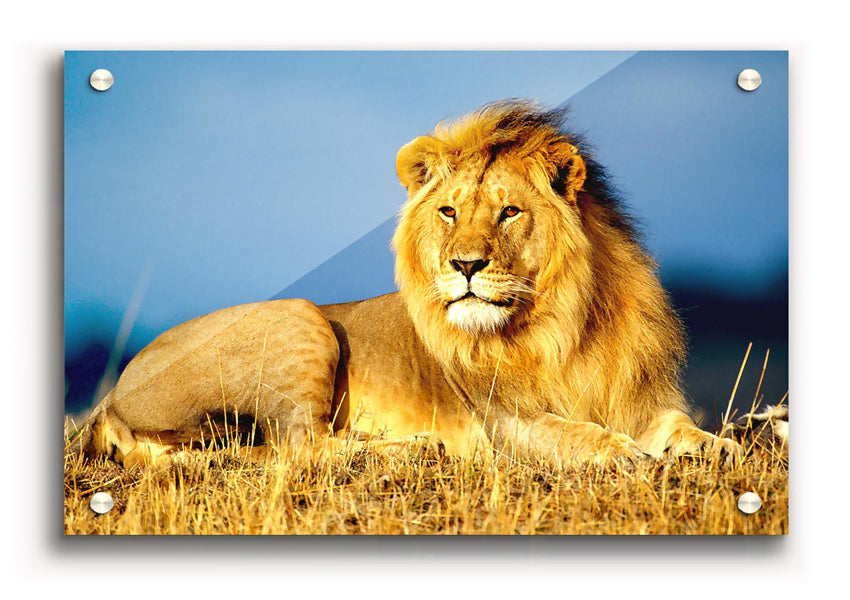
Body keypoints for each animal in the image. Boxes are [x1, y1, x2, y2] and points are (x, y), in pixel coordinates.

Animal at [70, 100, 741, 469]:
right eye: (448, 212)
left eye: (509, 212)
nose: (465, 265)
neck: (563, 324)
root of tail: (112, 394)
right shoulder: (506, 424)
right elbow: (576, 433)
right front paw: (624, 453)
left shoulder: (639, 399)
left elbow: (680, 427)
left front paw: (721, 447)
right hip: (299, 316)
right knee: (299, 447)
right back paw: (414, 448)